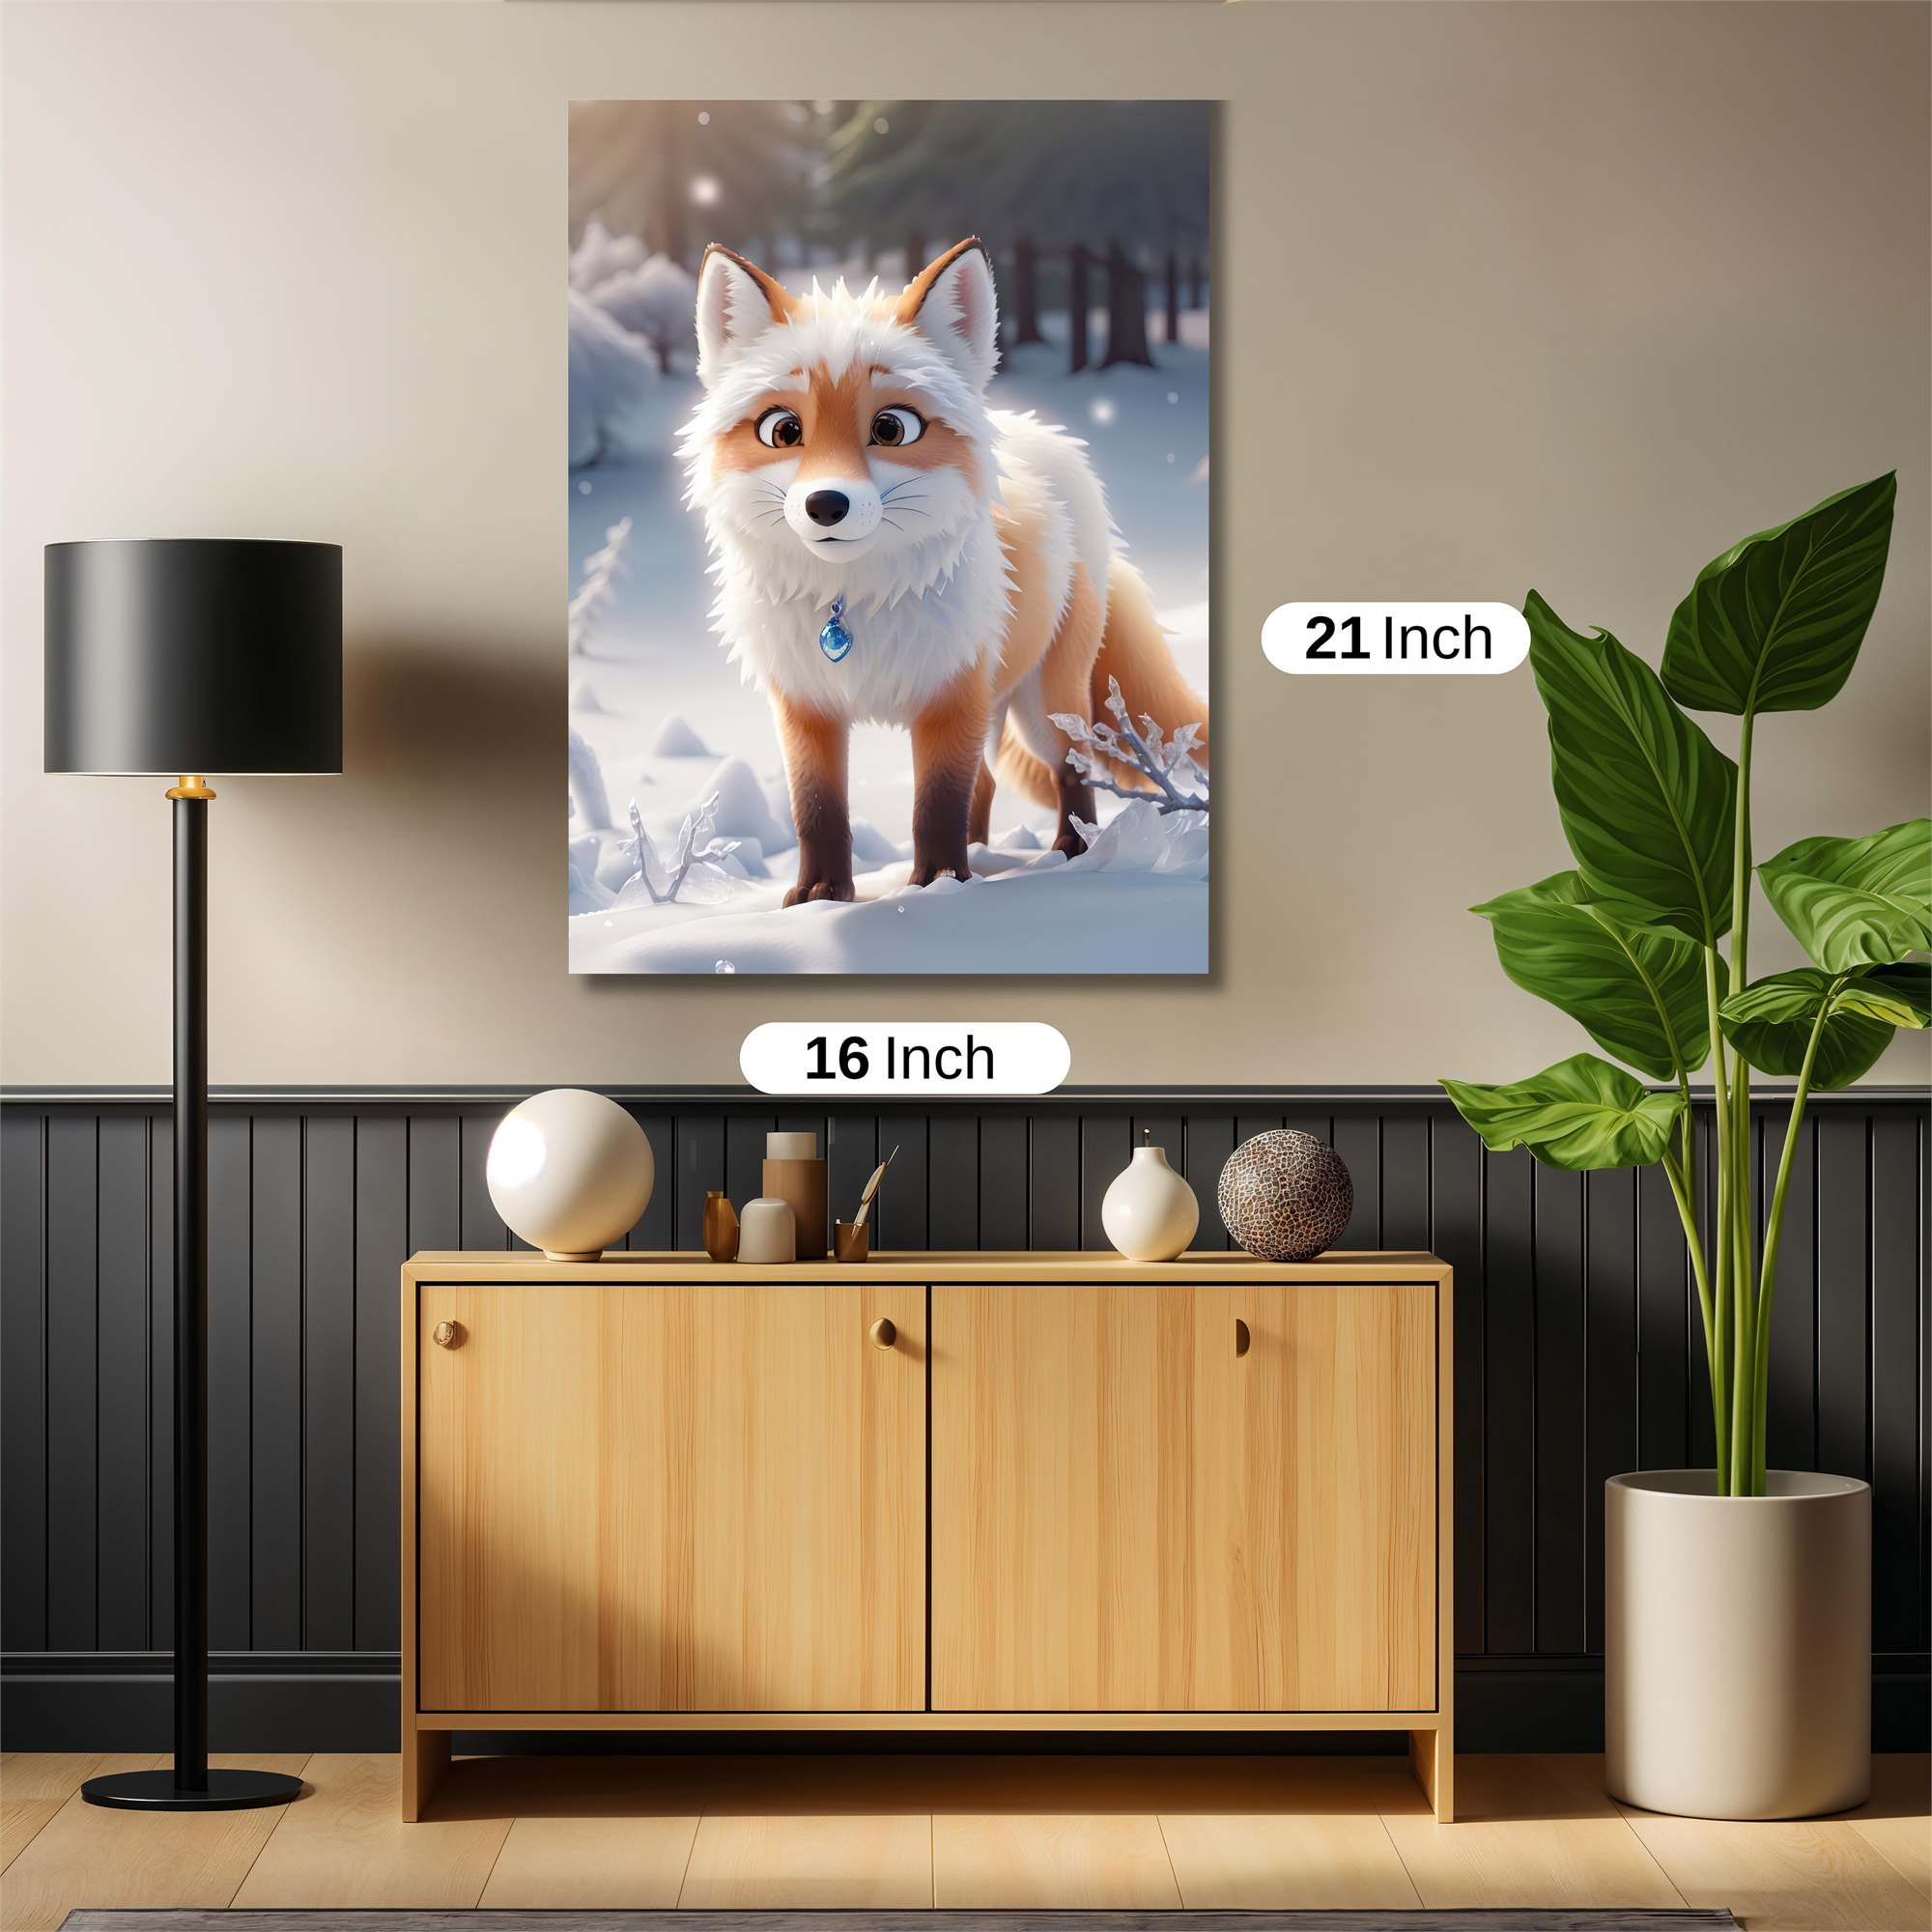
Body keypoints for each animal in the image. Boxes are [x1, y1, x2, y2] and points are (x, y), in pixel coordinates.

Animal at [681, 237, 1208, 907]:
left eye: (891, 428)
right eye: (783, 430)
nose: (825, 504)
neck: (854, 604)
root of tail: (1051, 440)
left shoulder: (951, 692)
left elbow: (937, 803)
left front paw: (935, 887)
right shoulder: (806, 703)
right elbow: (818, 811)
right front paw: (822, 896)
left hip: (1043, 705)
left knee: (1071, 770)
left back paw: (1071, 854)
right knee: (987, 784)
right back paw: (982, 856)